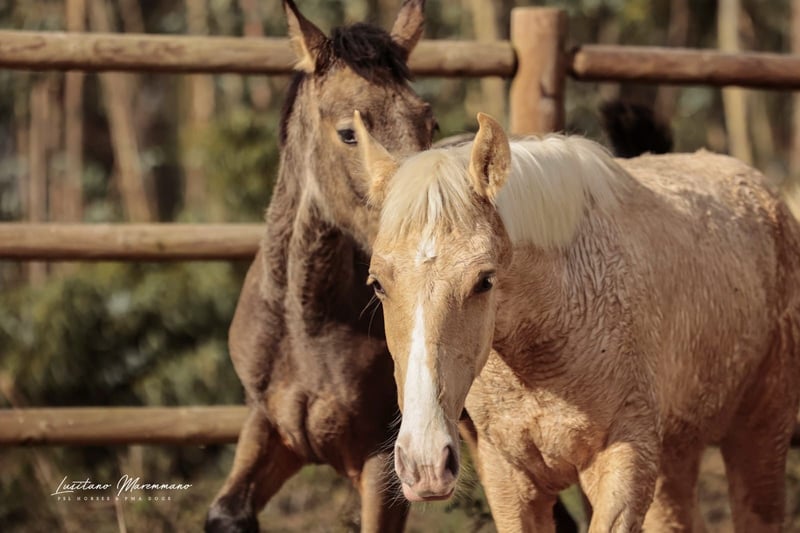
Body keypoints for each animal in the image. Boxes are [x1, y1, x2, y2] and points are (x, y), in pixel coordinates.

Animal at [204, 1, 435, 531]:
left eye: (427, 123)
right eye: (349, 133)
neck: (307, 323)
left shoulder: (384, 456)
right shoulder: (270, 426)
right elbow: (226, 512)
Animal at [355, 111, 800, 532]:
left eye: (485, 281)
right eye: (377, 284)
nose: (425, 463)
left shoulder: (624, 464)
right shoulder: (509, 479)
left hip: (759, 436)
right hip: (677, 457)